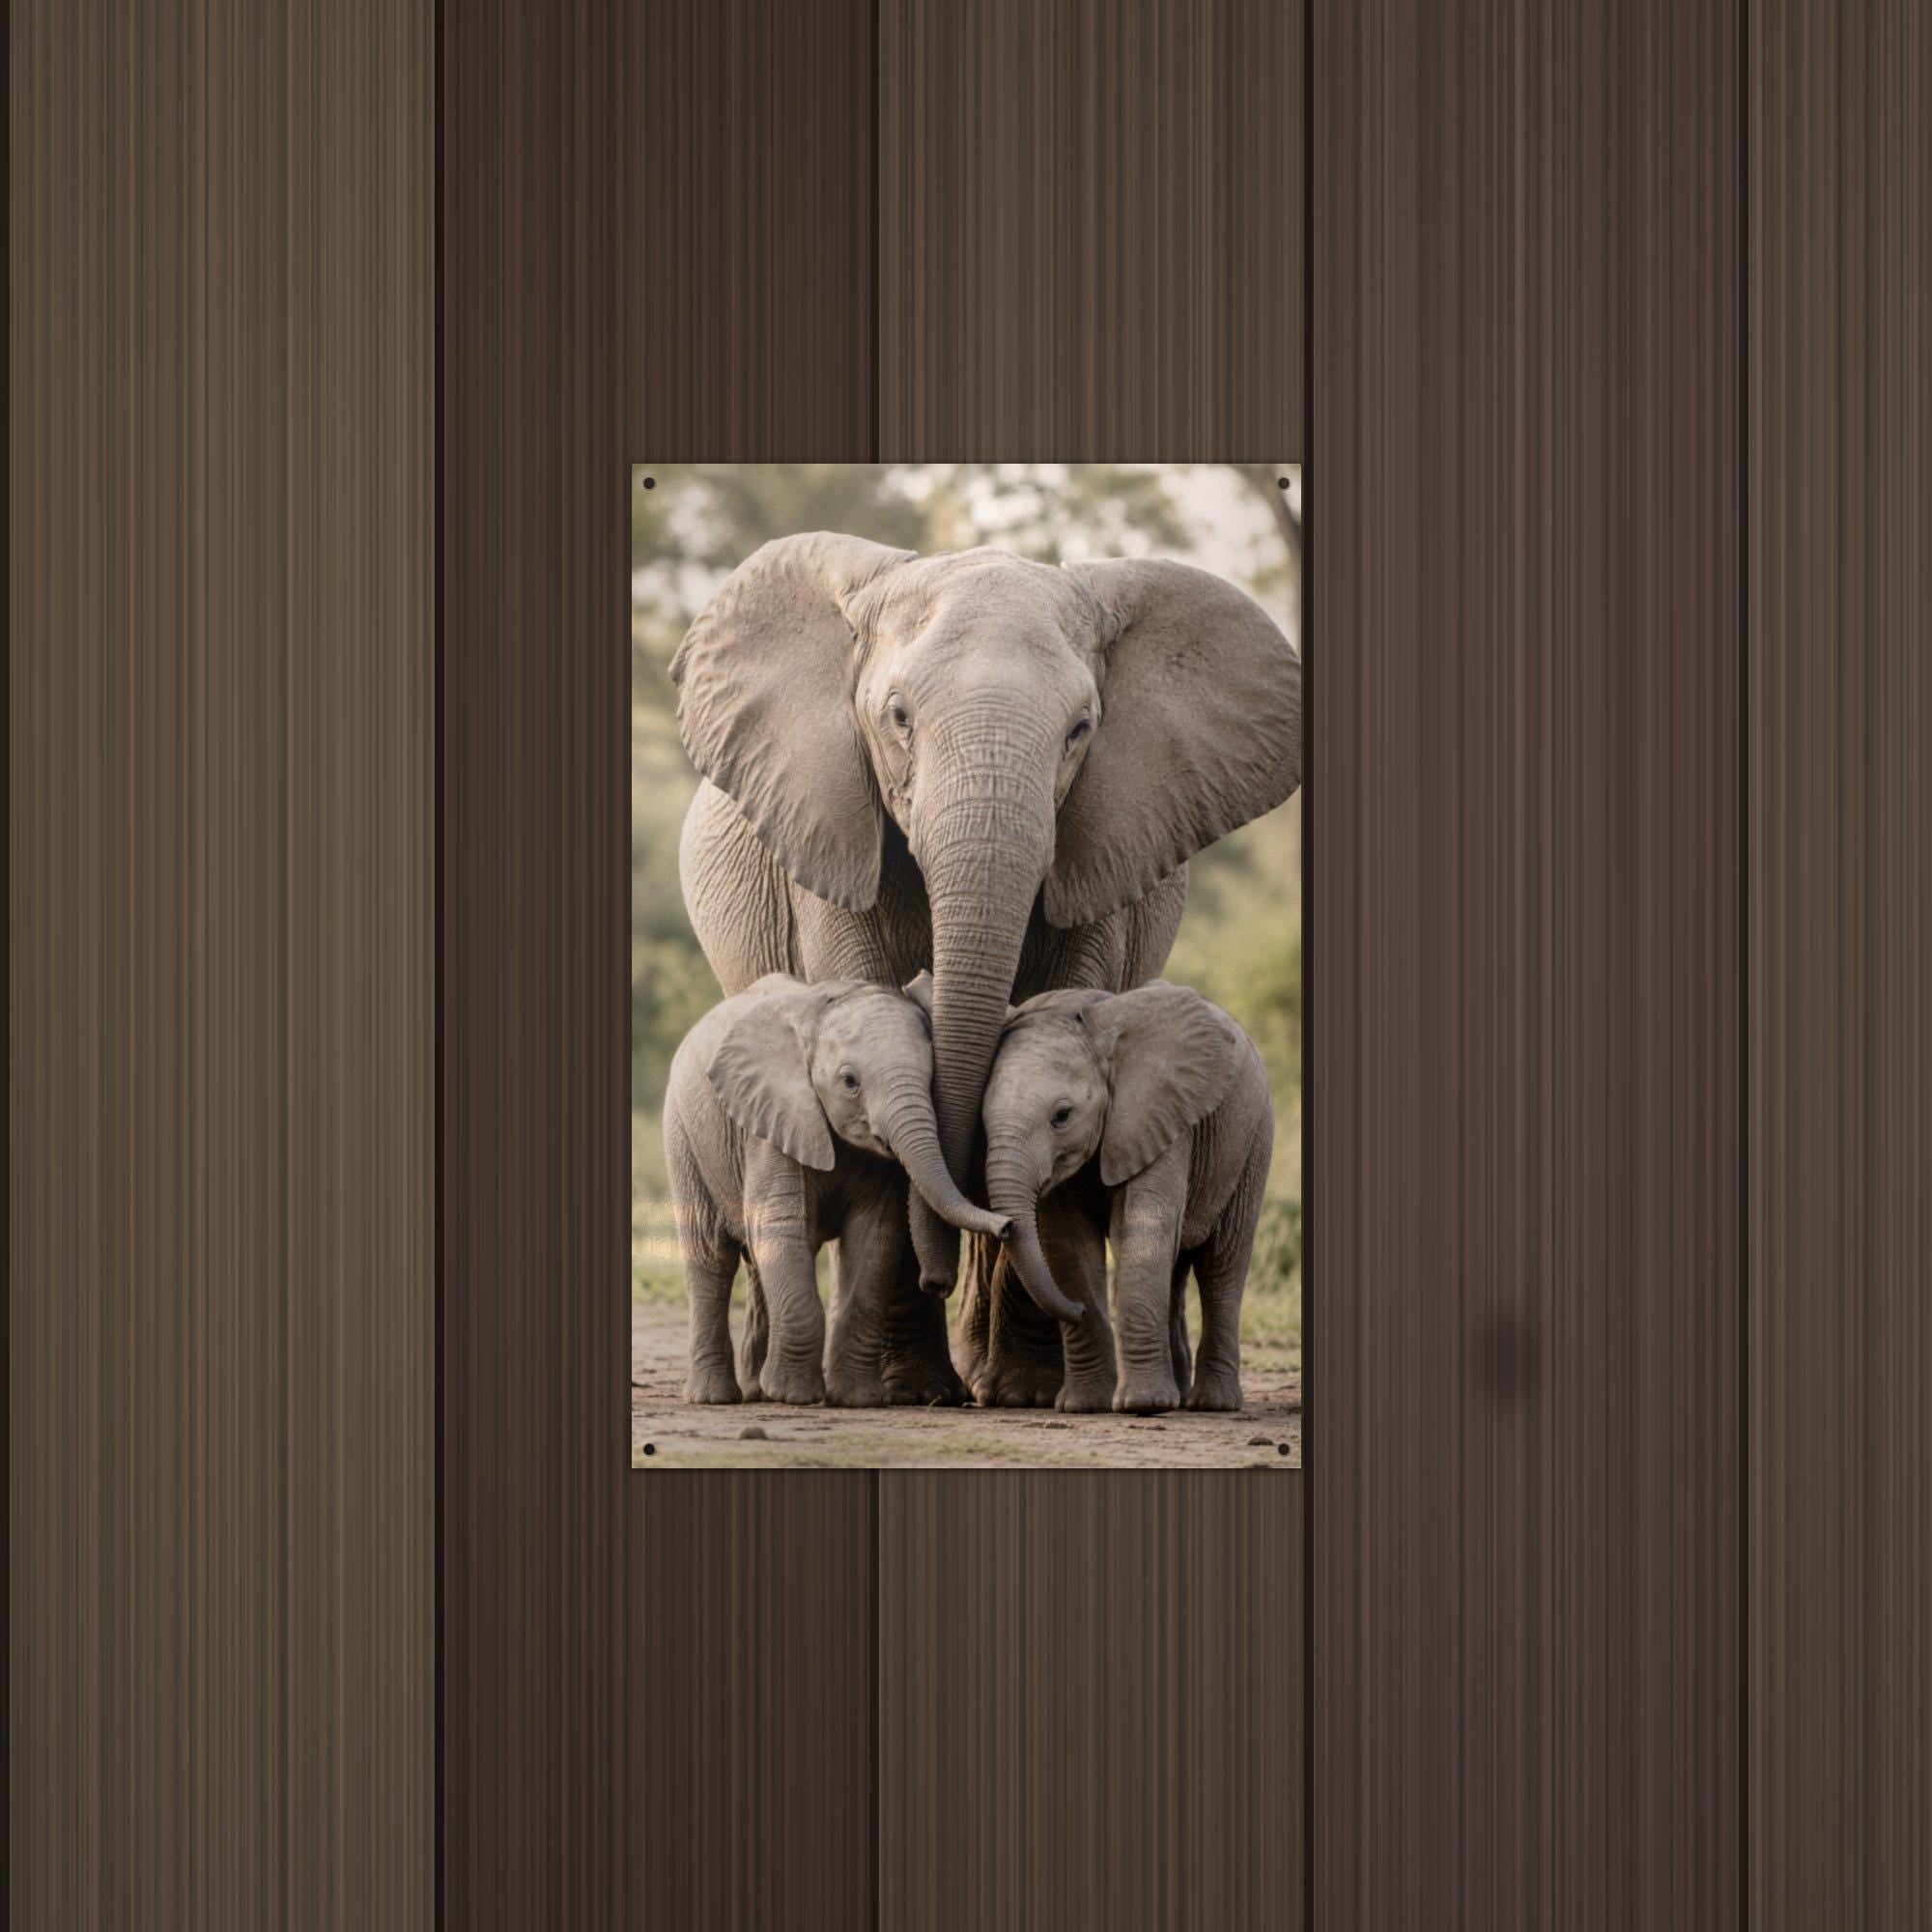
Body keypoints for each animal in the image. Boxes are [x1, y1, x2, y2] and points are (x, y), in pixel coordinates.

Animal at [662, 975, 1011, 1407]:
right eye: (850, 1082)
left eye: (932, 1079)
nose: (1007, 1225)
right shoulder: (772, 1123)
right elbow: (781, 1226)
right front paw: (794, 1396)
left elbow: (873, 1238)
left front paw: (858, 1399)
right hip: (684, 1135)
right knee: (710, 1255)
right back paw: (715, 1397)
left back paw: (757, 1391)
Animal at [979, 982, 1274, 1415]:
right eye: (981, 1121)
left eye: (1062, 1116)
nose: (1078, 1309)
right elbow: (1068, 1245)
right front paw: (1084, 1406)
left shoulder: (1161, 1117)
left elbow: (1140, 1232)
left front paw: (1143, 1403)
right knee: (1177, 1268)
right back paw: (1180, 1395)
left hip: (1252, 1142)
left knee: (1221, 1267)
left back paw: (1212, 1403)